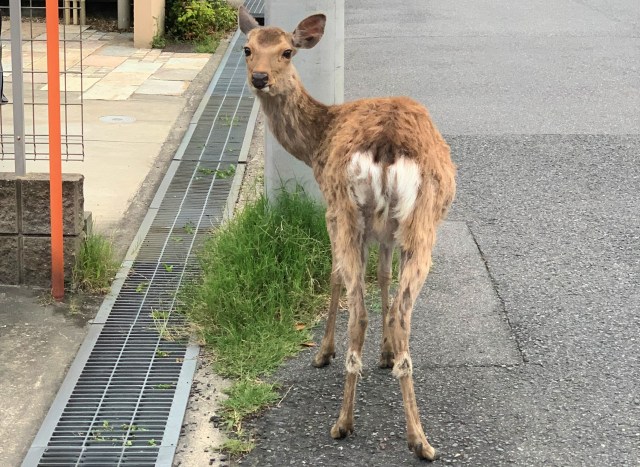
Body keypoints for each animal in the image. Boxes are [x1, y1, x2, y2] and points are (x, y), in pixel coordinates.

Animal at [239, 6, 456, 460]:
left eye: (287, 51)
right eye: (247, 48)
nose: (260, 77)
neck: (316, 143)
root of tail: (387, 148)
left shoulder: (328, 206)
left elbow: (336, 274)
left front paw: (323, 352)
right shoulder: (386, 230)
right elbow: (384, 277)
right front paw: (385, 354)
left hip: (349, 210)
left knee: (358, 309)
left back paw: (345, 422)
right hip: (417, 223)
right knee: (400, 311)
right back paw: (419, 438)